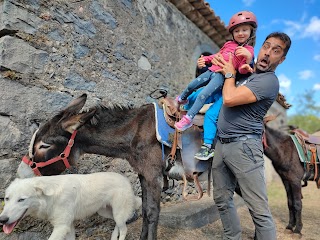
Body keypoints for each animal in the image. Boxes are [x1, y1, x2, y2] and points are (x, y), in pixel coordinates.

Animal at [0, 172, 141, 239]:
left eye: (21, 200)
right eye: (7, 199)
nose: (2, 220)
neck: (51, 197)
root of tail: (125, 179)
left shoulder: (61, 227)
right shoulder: (68, 226)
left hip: (118, 213)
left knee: (124, 229)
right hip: (105, 212)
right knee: (118, 224)